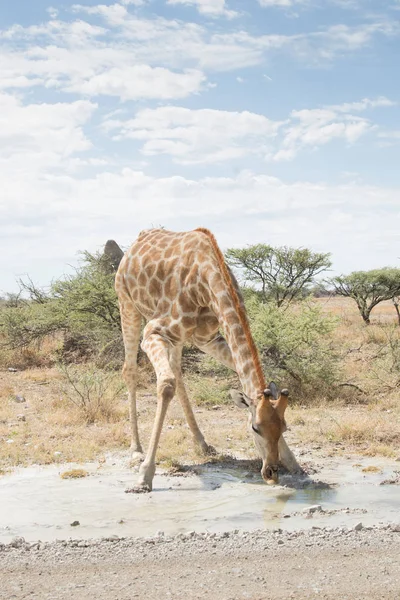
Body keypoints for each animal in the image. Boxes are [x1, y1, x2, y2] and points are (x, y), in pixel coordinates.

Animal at [114, 227, 298, 490]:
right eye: (255, 428)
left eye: (284, 427)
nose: (271, 472)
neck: (206, 280)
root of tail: (138, 239)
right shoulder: (153, 332)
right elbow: (165, 385)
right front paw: (145, 476)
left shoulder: (207, 338)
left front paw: (294, 463)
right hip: (127, 304)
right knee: (131, 371)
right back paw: (136, 450)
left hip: (178, 337)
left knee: (177, 371)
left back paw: (202, 443)